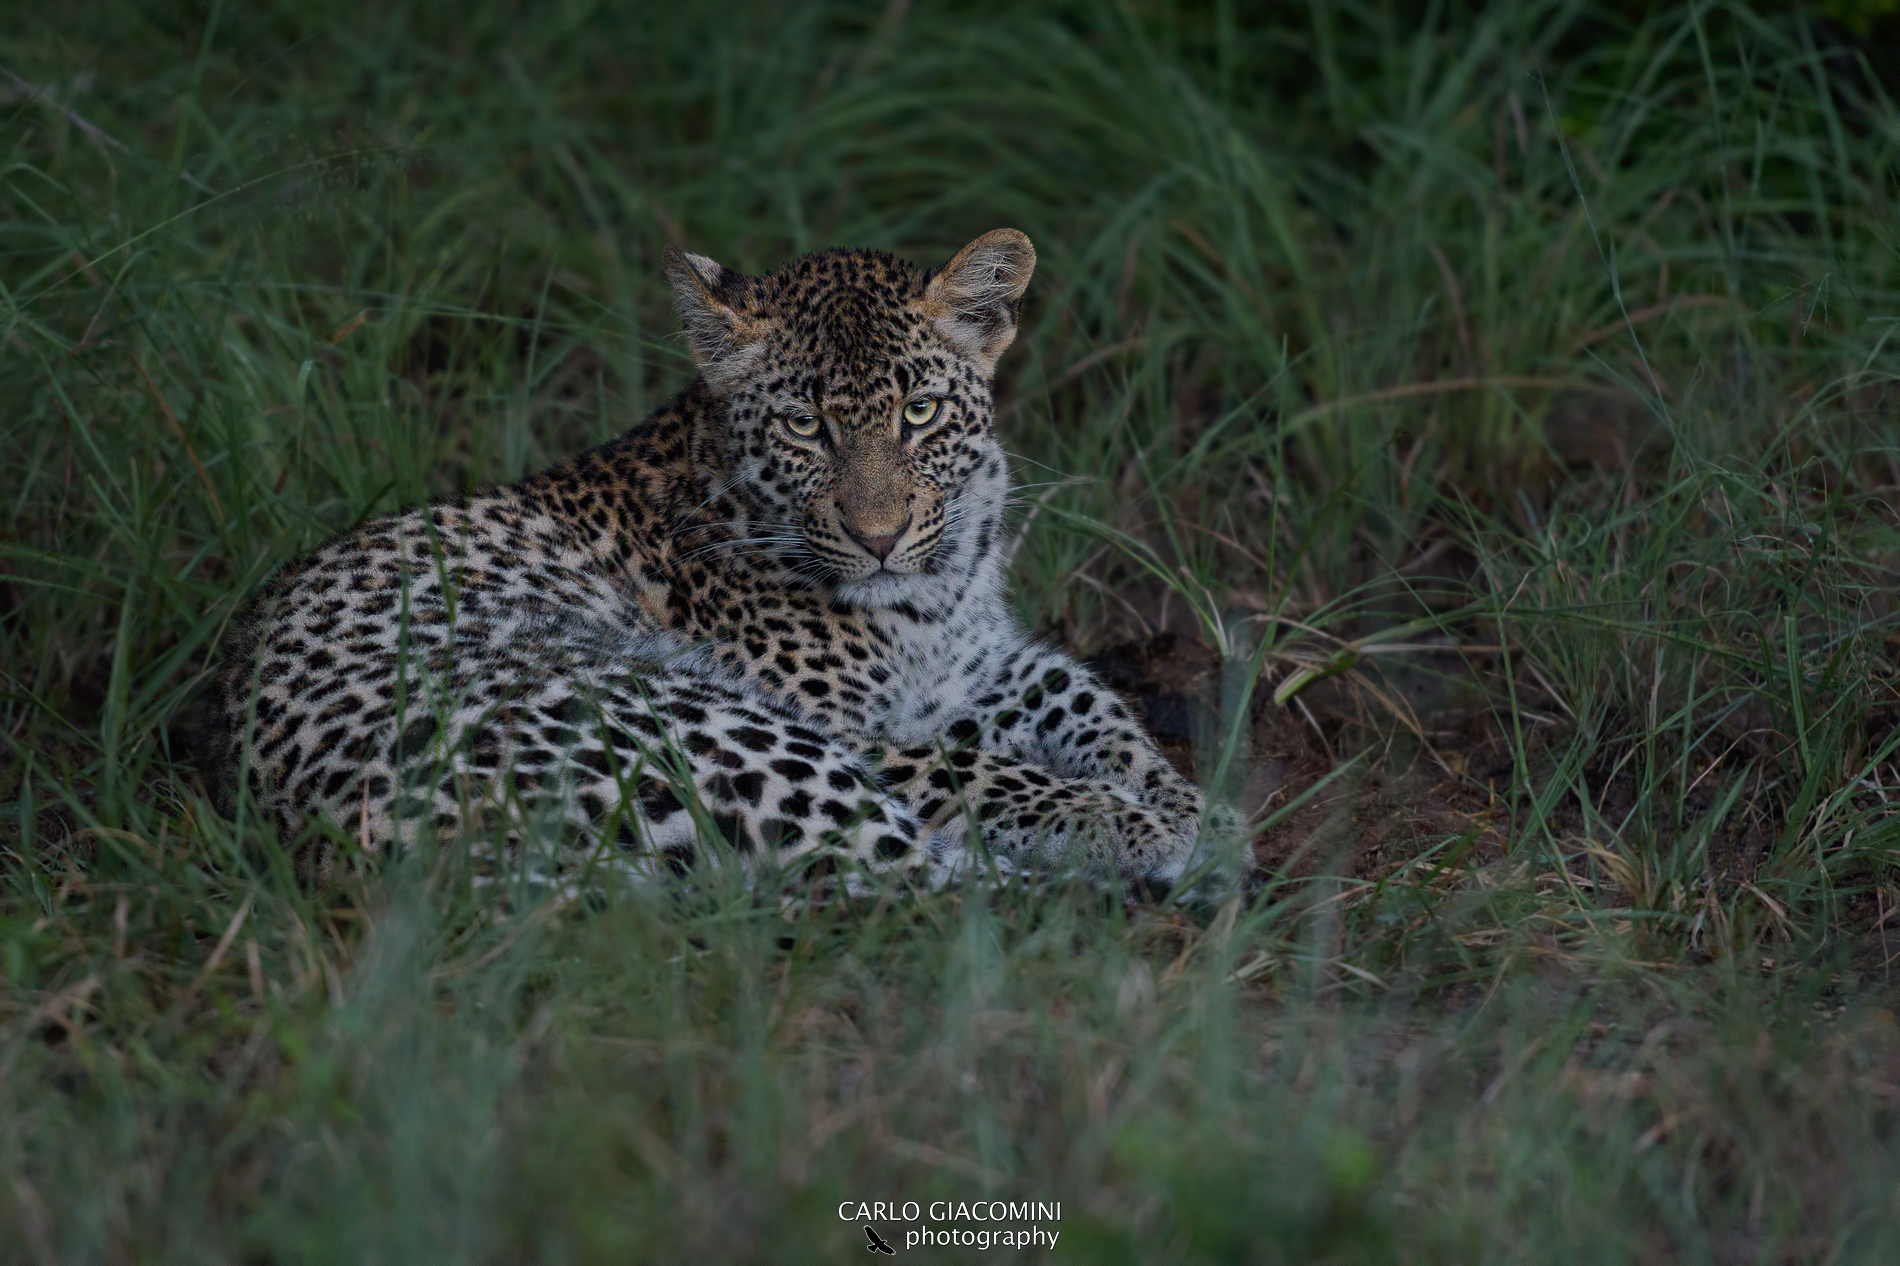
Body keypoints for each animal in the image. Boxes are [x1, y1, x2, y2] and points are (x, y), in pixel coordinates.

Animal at [214, 228, 1243, 893]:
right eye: (804, 427)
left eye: (920, 414)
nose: (878, 537)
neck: (931, 596)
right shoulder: (857, 719)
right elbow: (985, 771)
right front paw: (1158, 823)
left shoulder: (978, 664)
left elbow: (1091, 703)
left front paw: (1179, 795)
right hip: (693, 725)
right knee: (930, 877)